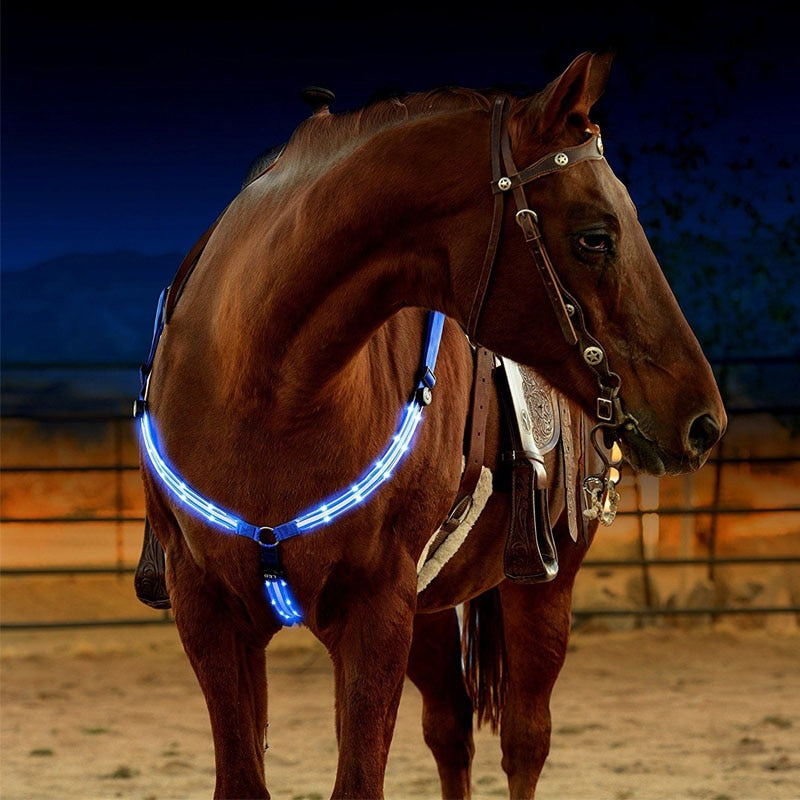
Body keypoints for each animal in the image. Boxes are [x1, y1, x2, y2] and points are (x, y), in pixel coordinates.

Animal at [136, 51, 726, 798]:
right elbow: (246, 777)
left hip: (541, 588)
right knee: (450, 729)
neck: (264, 388)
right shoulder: (209, 611)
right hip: (431, 610)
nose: (704, 422)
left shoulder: (376, 610)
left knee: (524, 740)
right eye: (596, 236)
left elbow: (361, 779)